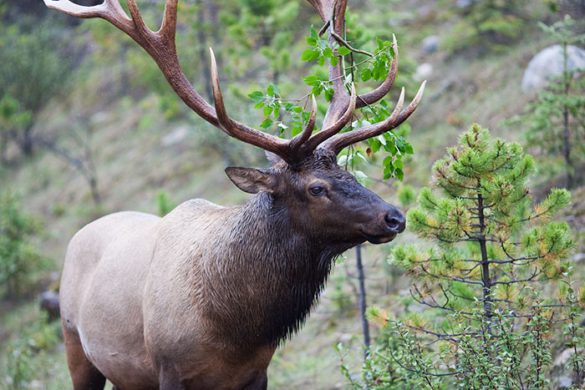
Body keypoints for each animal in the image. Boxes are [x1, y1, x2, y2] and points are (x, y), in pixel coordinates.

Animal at [42, 0, 424, 390]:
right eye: (316, 187)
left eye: (348, 173)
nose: (394, 216)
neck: (234, 328)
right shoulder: (168, 370)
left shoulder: (257, 372)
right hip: (76, 345)